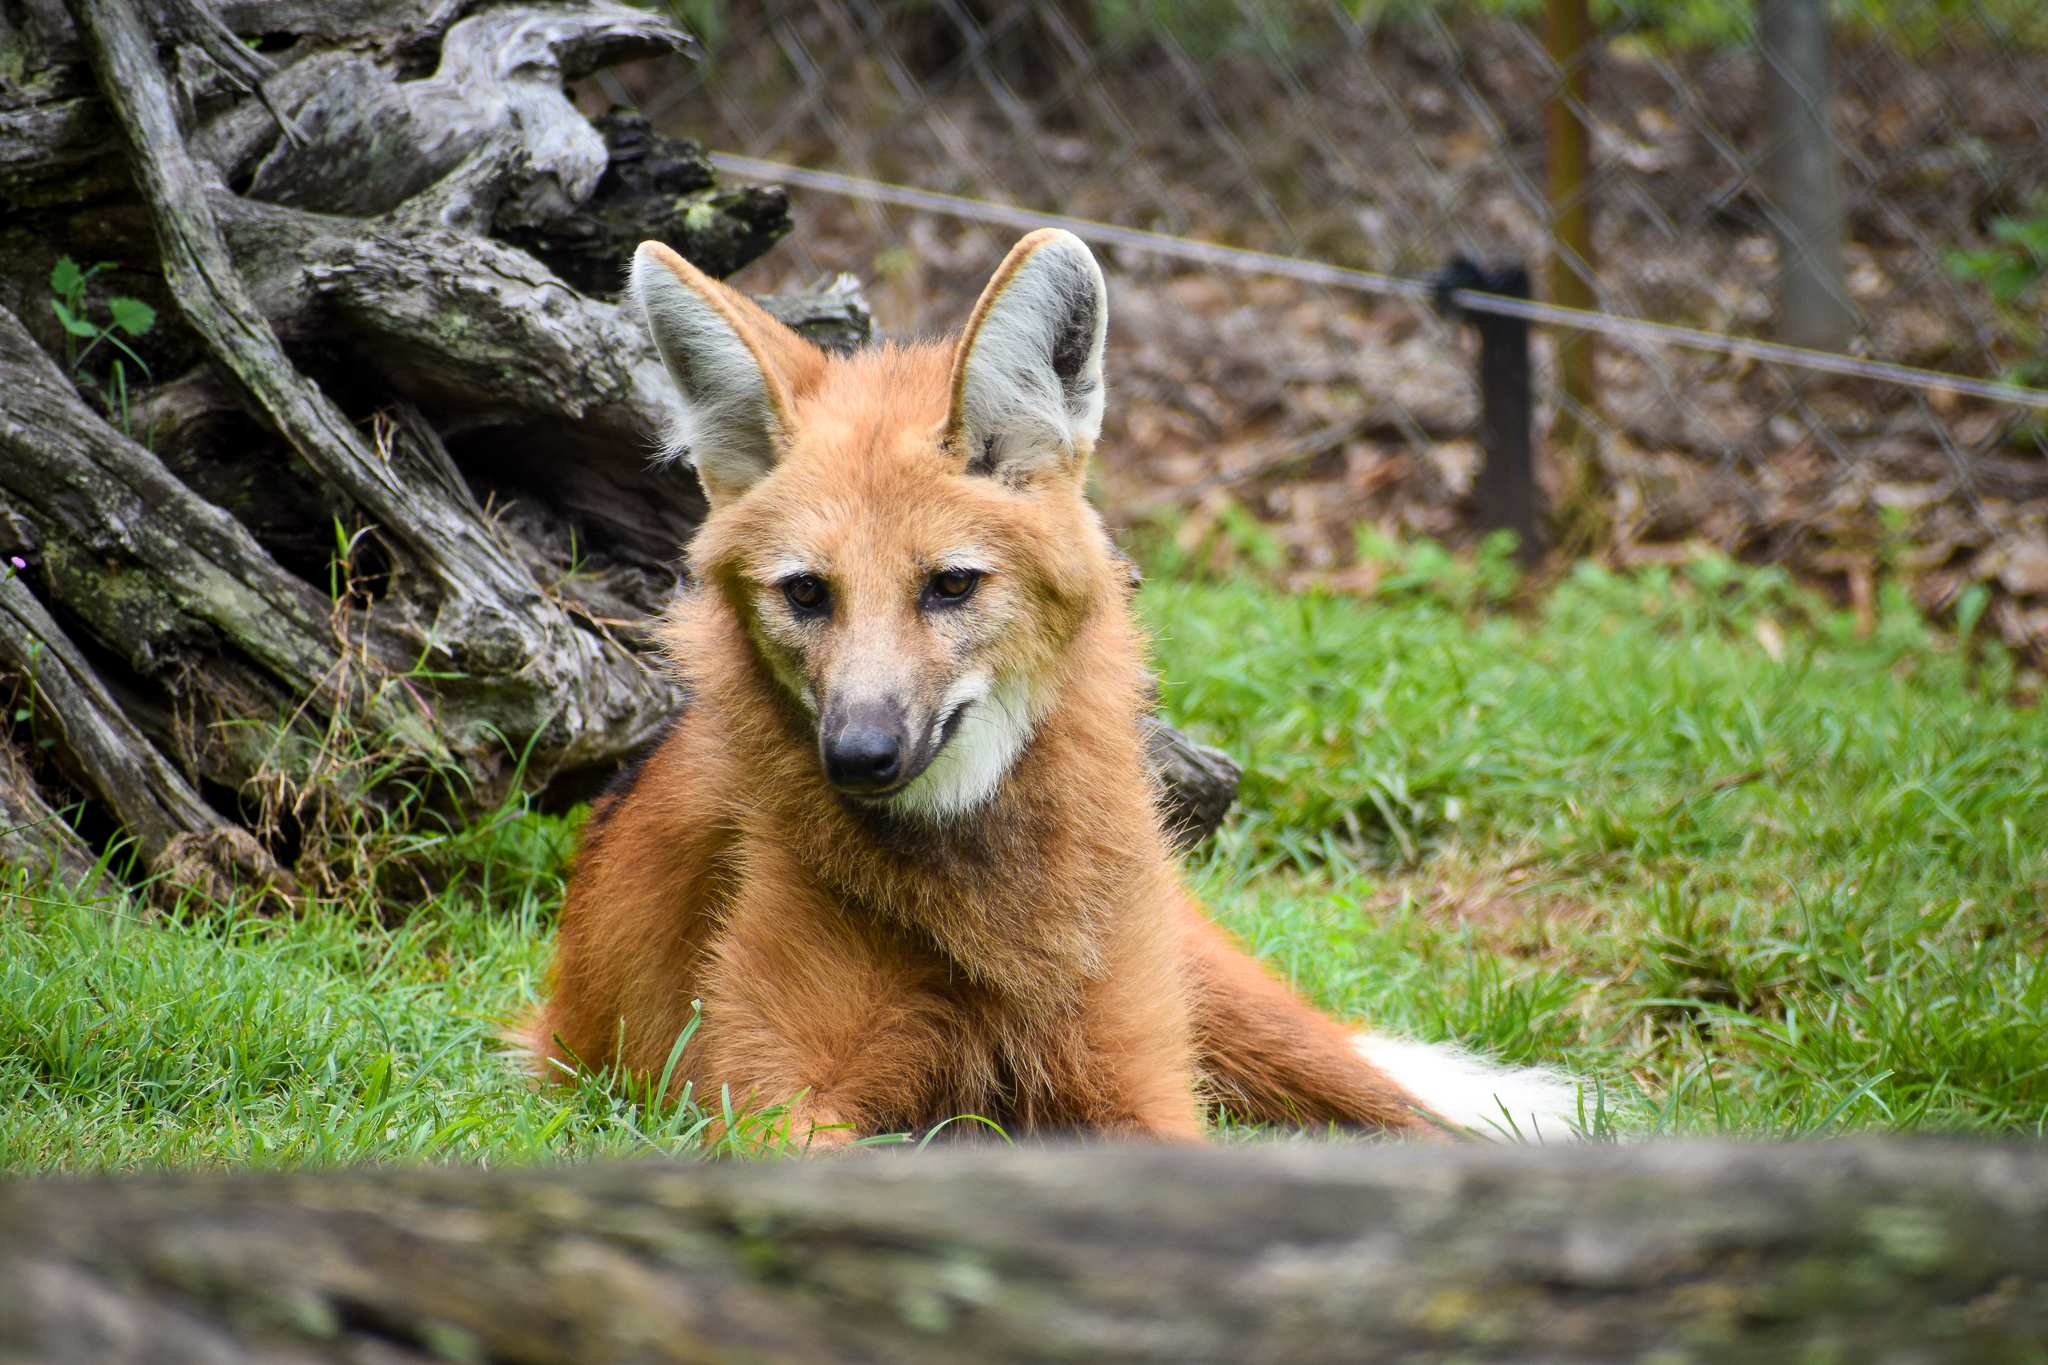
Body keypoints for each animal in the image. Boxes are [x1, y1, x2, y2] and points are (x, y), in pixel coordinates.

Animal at [527, 229, 1577, 1145]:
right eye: (807, 593)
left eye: (951, 585)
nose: (859, 755)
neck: (992, 899)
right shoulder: (769, 1096)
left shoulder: (1134, 1075)